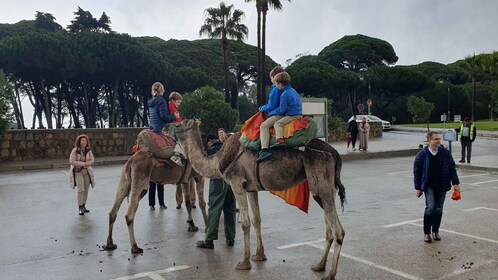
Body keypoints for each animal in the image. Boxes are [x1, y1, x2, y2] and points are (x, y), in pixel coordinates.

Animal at [174, 119, 346, 278]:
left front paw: (244, 263)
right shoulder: (251, 188)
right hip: (325, 187)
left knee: (338, 231)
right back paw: (319, 265)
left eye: (178, 124)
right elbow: (256, 219)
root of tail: (334, 153)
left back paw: (330, 274)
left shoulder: (236, 183)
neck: (217, 160)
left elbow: (245, 223)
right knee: (330, 226)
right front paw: (259, 256)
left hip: (320, 180)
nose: (168, 127)